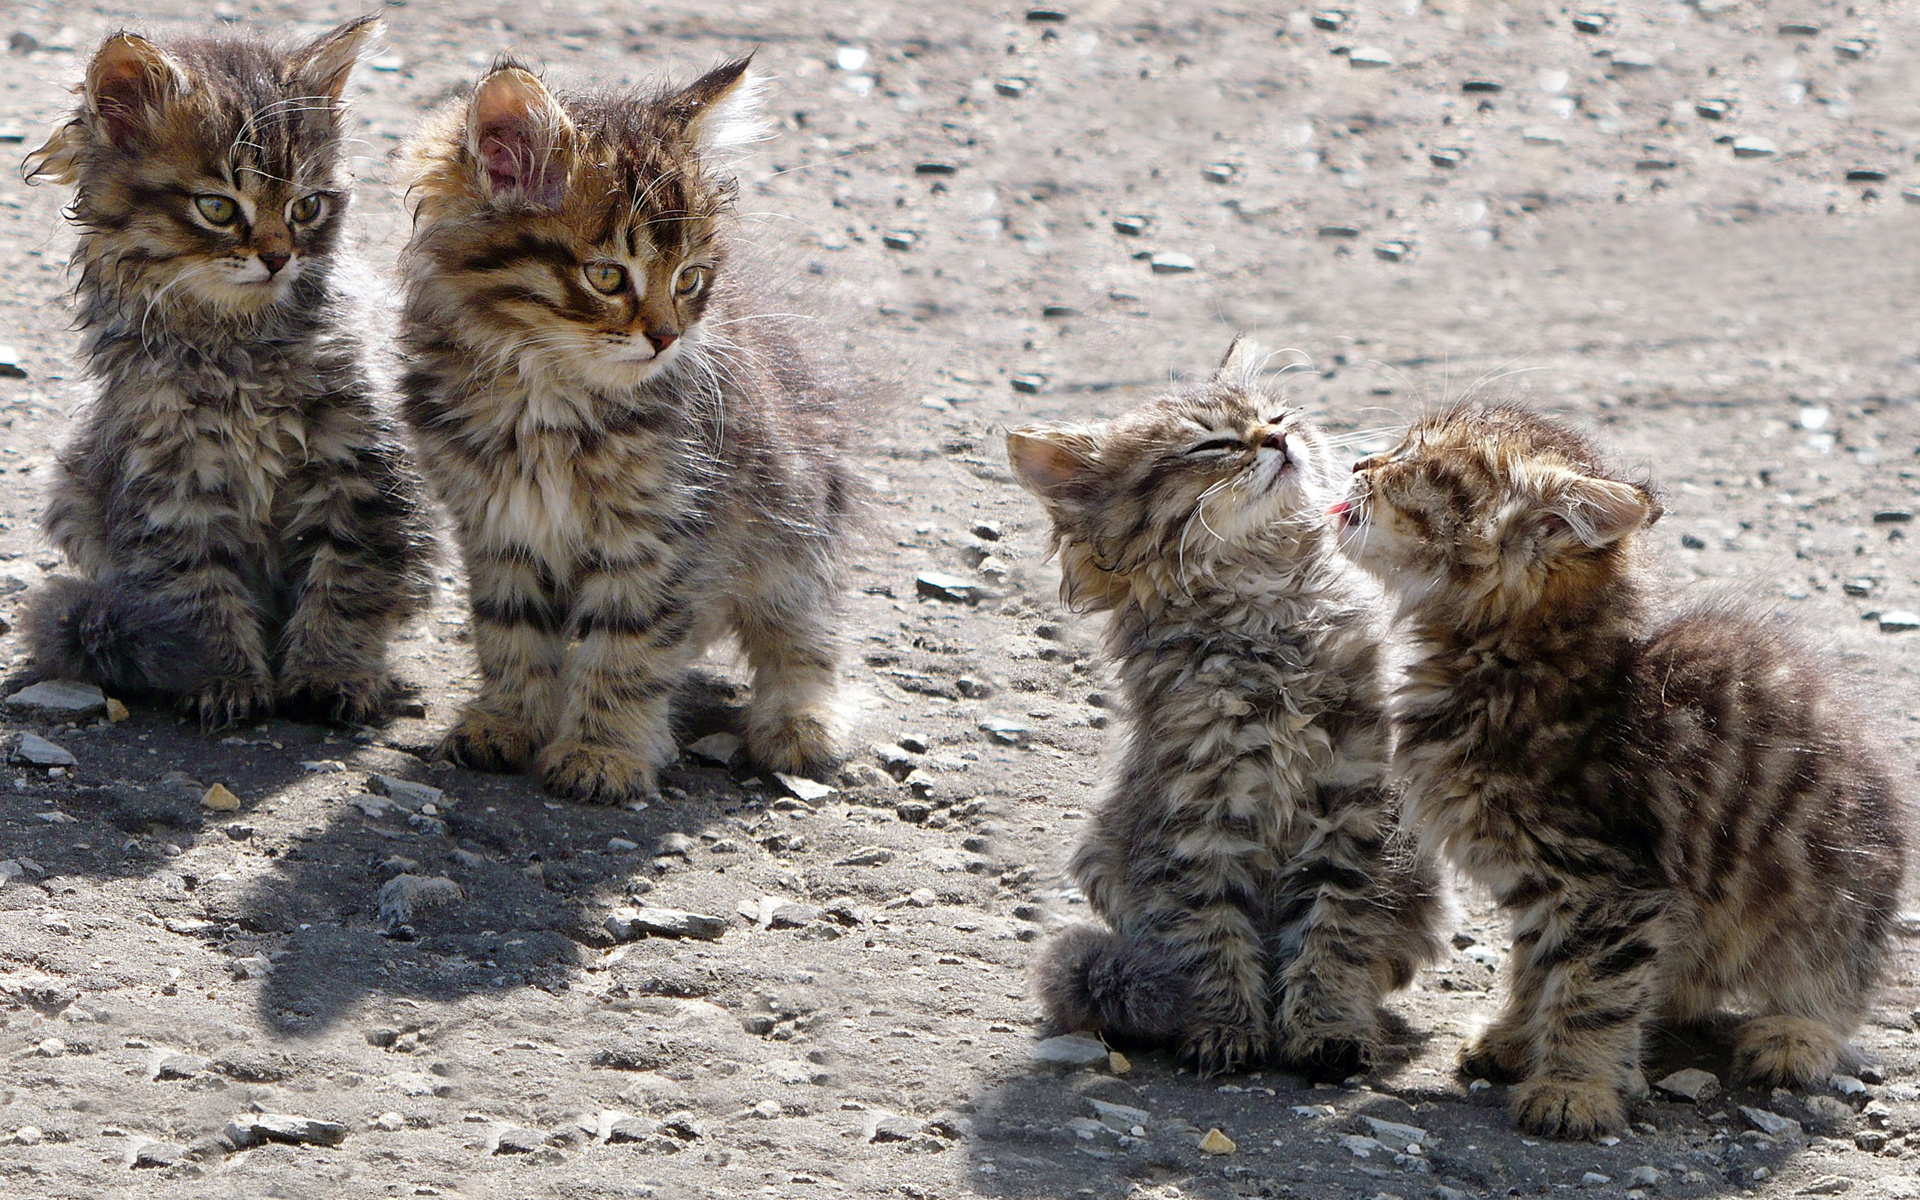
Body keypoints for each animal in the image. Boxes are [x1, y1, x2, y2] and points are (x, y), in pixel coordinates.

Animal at [18, 18, 433, 725]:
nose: (277, 257)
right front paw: (226, 678)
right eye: (217, 207)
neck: (236, 351)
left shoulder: (362, 463)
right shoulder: (169, 481)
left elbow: (349, 582)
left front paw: (331, 674)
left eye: (305, 209)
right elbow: (197, 593)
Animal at [1006, 337, 1443, 1075]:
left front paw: (1326, 1027)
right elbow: (1209, 932)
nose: (1278, 438)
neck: (1268, 621)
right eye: (1212, 444)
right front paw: (1227, 1026)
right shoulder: (1196, 816)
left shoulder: (1352, 802)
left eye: (1277, 416)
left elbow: (1336, 929)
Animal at [1336, 403, 1904, 1128]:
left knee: (1836, 985)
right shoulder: (1542, 884)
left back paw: (1795, 1035)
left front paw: (1573, 1088)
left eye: (1418, 465)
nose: (1359, 463)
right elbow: (1537, 967)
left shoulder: (1610, 880)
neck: (1516, 665)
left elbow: (1591, 993)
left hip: (1830, 896)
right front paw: (1518, 1038)